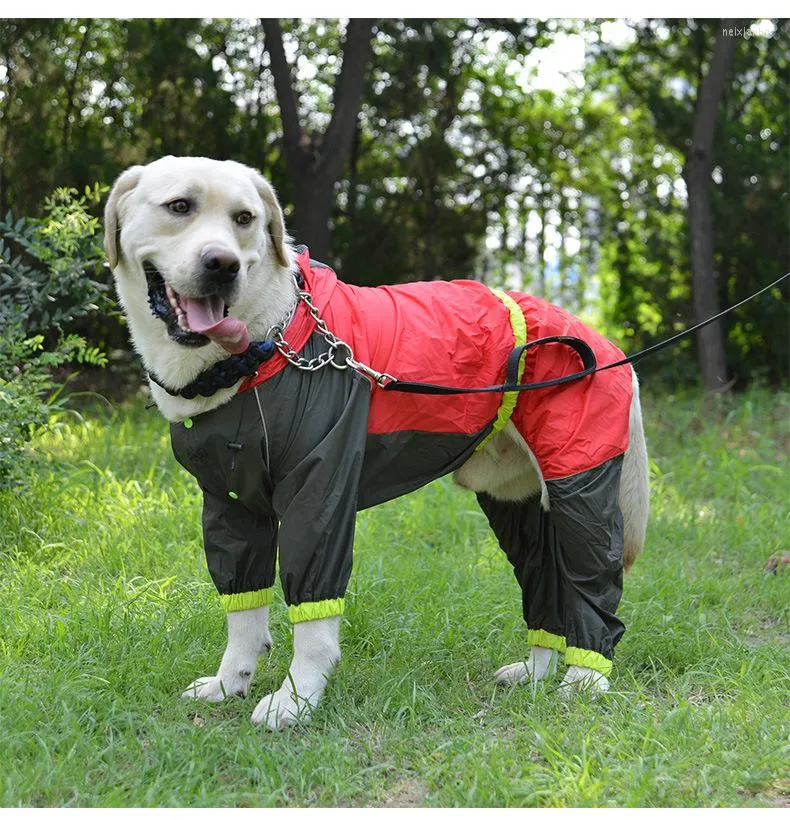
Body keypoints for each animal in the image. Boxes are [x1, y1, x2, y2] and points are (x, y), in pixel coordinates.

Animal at [105, 155, 648, 732]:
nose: (223, 264)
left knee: (593, 585)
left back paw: (585, 677)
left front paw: (296, 700)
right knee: (548, 584)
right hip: (518, 505)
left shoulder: (318, 497)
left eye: (244, 218)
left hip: (581, 490)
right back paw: (536, 673)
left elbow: (312, 620)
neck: (263, 350)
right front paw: (230, 683)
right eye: (179, 206)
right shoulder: (229, 505)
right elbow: (243, 611)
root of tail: (603, 342)